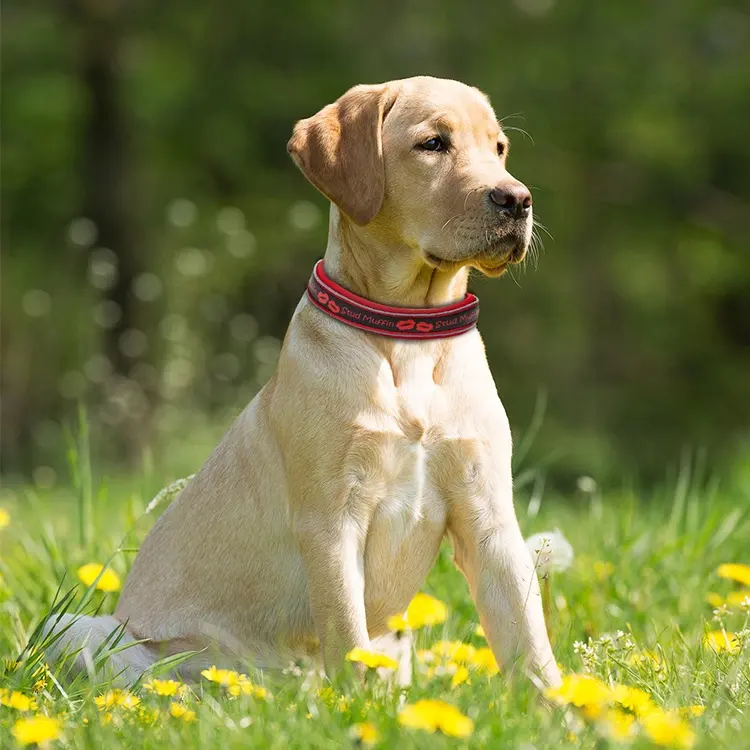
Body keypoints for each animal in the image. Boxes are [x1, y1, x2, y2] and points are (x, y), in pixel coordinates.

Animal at [45, 76, 564, 692]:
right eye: (433, 144)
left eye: (500, 149)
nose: (517, 199)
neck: (407, 337)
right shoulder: (331, 521)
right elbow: (347, 633)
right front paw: (358, 705)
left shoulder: (489, 518)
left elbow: (530, 642)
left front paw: (564, 708)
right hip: (78, 628)